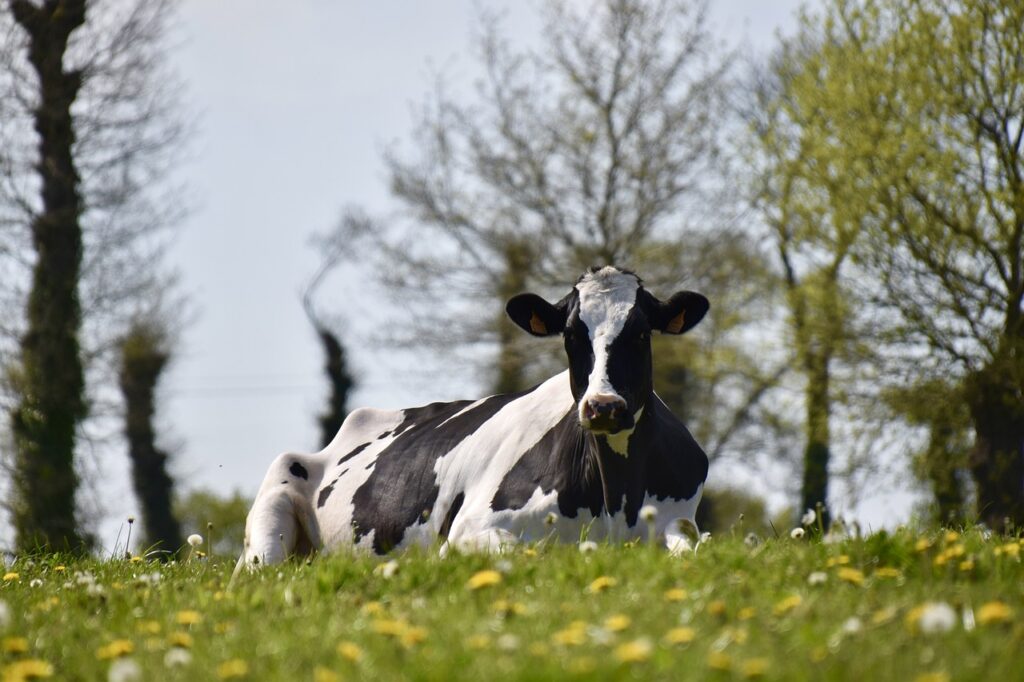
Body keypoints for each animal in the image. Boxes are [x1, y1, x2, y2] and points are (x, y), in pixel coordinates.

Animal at [237, 266, 709, 570]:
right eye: (572, 336)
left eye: (642, 333)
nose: (604, 406)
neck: (615, 497)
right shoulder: (470, 529)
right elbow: (524, 552)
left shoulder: (680, 519)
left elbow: (696, 546)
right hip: (272, 510)